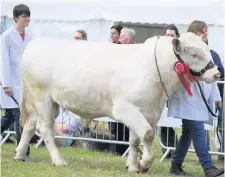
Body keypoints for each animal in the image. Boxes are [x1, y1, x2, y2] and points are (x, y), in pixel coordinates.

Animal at [14, 32, 219, 172]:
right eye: (194, 54)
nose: (216, 73)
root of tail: (36, 43)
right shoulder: (125, 109)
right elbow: (147, 135)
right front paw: (144, 163)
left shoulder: (145, 111)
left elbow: (135, 140)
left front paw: (133, 166)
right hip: (43, 99)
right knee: (45, 128)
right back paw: (58, 160)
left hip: (44, 102)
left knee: (30, 125)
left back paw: (20, 155)